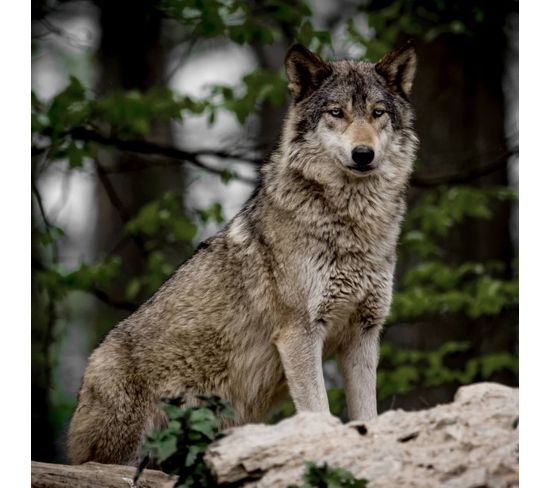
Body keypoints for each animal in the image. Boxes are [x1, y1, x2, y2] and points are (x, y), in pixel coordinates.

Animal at [69, 42, 420, 466]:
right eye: (337, 113)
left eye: (377, 112)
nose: (363, 153)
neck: (351, 224)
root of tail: (87, 371)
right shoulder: (299, 333)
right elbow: (319, 413)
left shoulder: (363, 334)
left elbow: (368, 414)